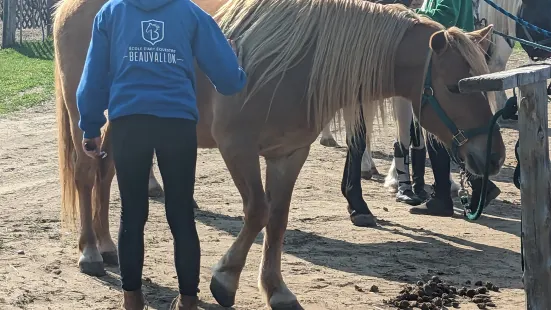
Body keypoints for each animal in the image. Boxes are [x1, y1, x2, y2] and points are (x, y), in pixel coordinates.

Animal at [52, 0, 504, 308]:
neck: (296, 61)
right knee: (87, 173)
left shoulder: (288, 154)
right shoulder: (238, 149)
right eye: (453, 87)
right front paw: (224, 281)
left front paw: (275, 290)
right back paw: (90, 252)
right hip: (84, 116)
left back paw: (107, 246)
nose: (494, 157)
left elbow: (278, 218)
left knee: (107, 172)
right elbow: (257, 211)